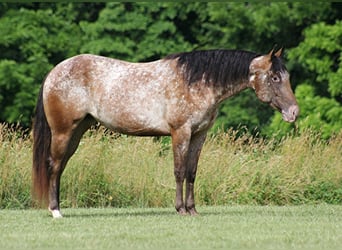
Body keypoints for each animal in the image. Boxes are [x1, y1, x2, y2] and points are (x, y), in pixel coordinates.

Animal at [32, 47, 300, 218]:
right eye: (275, 77)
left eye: (285, 76)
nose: (294, 112)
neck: (196, 82)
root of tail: (54, 73)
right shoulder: (180, 133)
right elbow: (179, 171)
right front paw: (180, 209)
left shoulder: (199, 135)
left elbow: (192, 172)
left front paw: (192, 210)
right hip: (63, 132)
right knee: (54, 165)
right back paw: (56, 211)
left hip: (77, 132)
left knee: (60, 167)